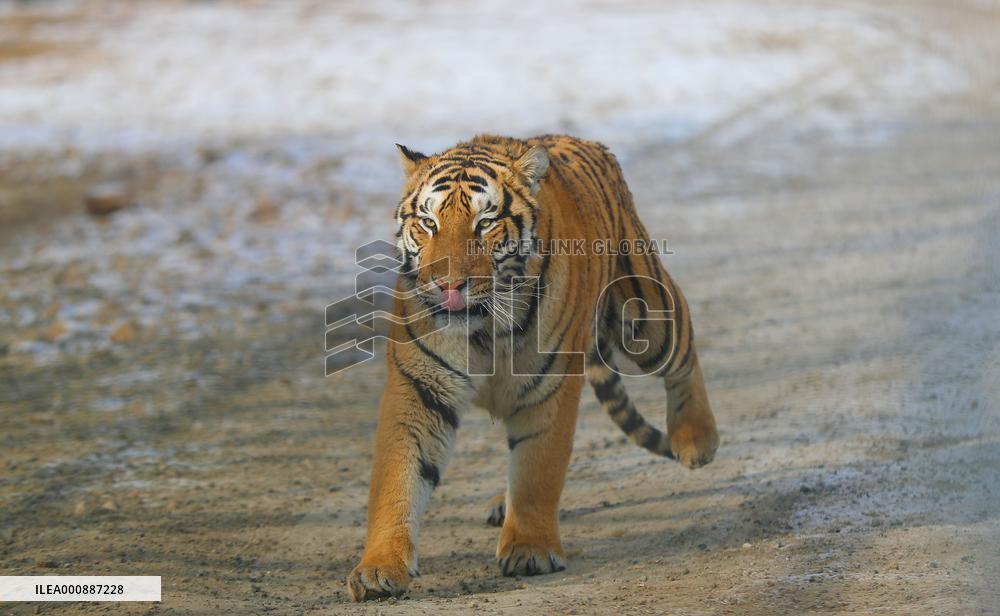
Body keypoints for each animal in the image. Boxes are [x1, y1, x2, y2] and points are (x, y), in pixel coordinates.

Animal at [347, 134, 719, 601]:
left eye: (485, 224)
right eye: (428, 223)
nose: (447, 285)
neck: (484, 327)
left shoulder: (550, 386)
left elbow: (538, 469)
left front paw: (530, 549)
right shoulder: (419, 388)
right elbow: (397, 477)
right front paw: (379, 568)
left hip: (645, 312)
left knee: (683, 348)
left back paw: (696, 440)